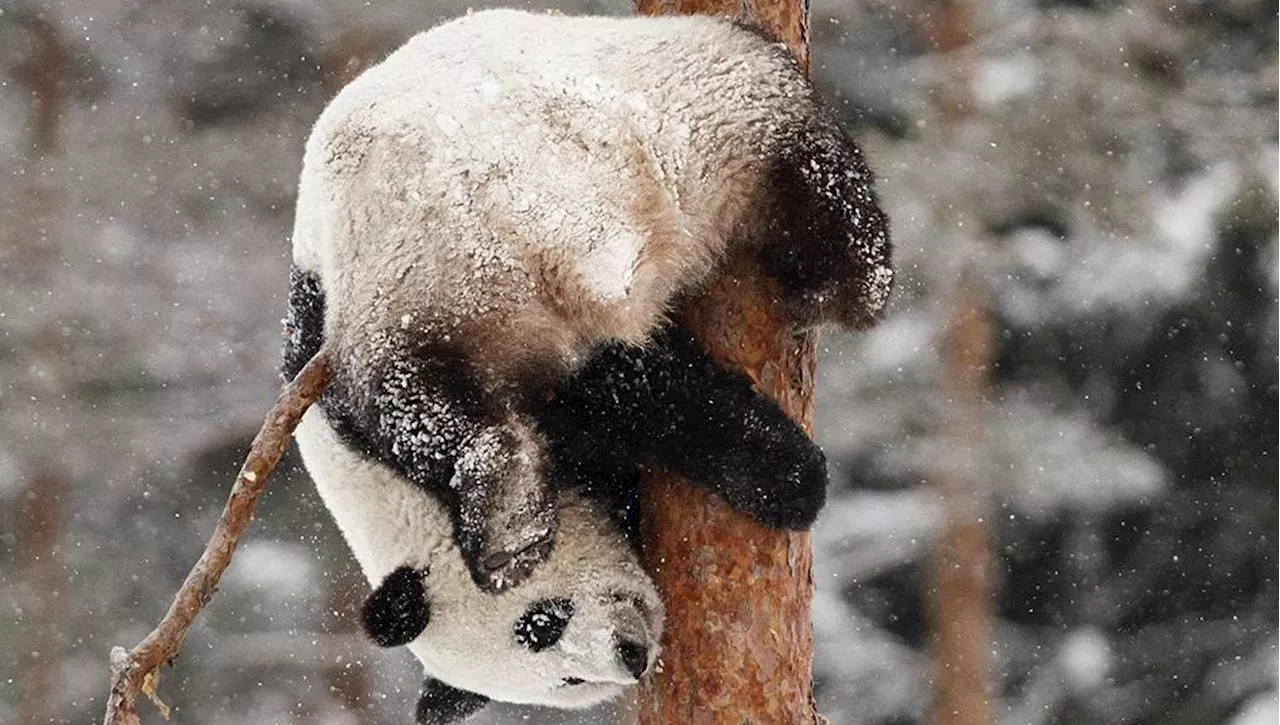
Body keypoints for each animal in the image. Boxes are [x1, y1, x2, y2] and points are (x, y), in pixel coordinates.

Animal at [286, 7, 896, 725]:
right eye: (566, 679)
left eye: (540, 623)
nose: (629, 656)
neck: (391, 505)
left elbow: (616, 404)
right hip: (686, 125)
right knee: (808, 178)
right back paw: (844, 289)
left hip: (407, 268)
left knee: (424, 396)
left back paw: (509, 522)